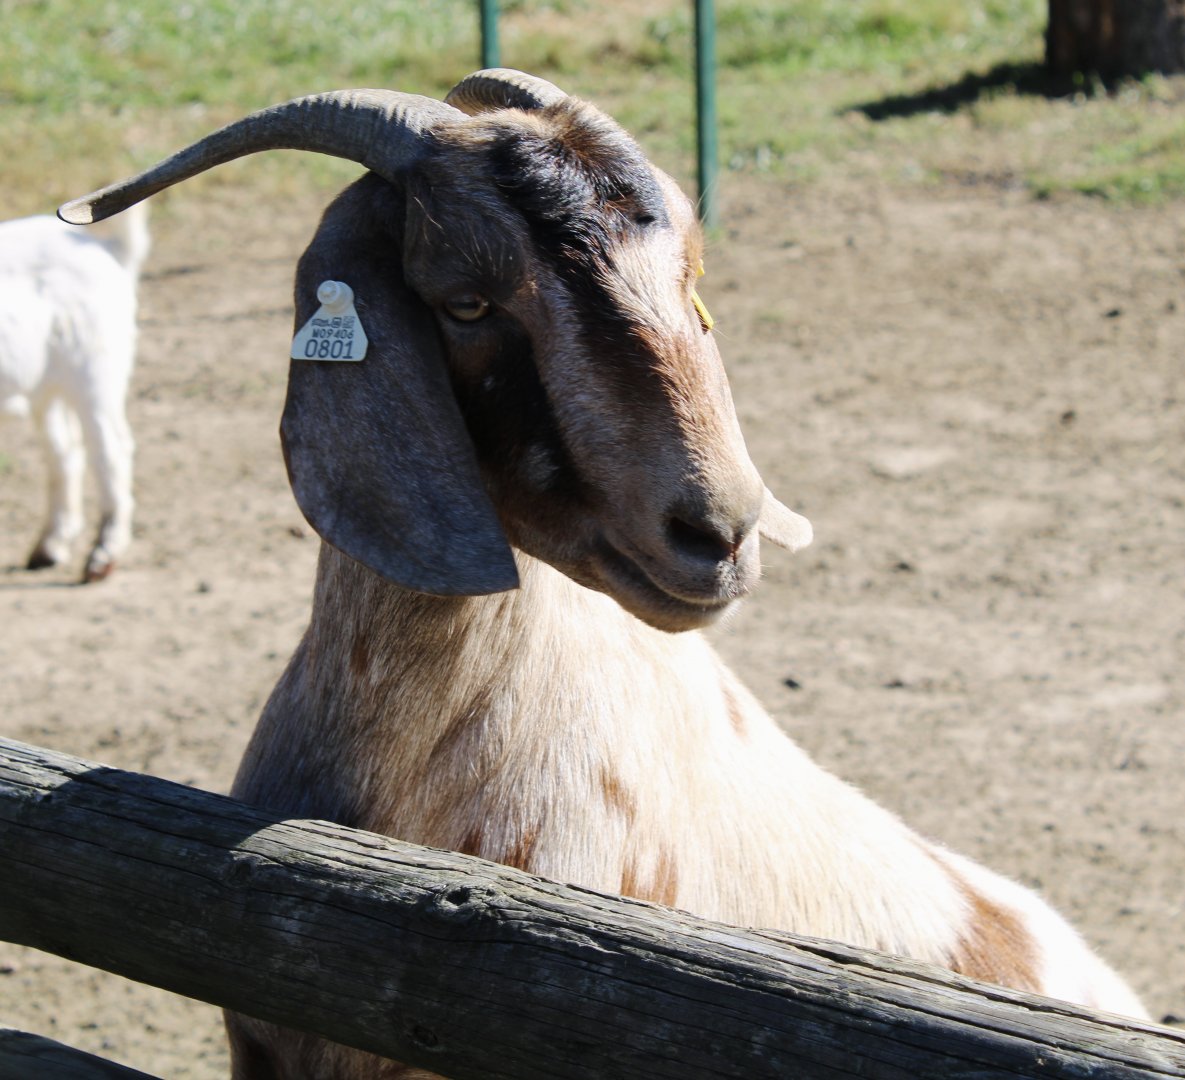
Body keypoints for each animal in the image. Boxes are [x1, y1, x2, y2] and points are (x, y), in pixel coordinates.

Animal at [0, 203, 148, 581]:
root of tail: (104, 248)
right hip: (46, 387)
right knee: (64, 453)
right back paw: (50, 546)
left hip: (93, 369)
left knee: (110, 450)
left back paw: (103, 554)